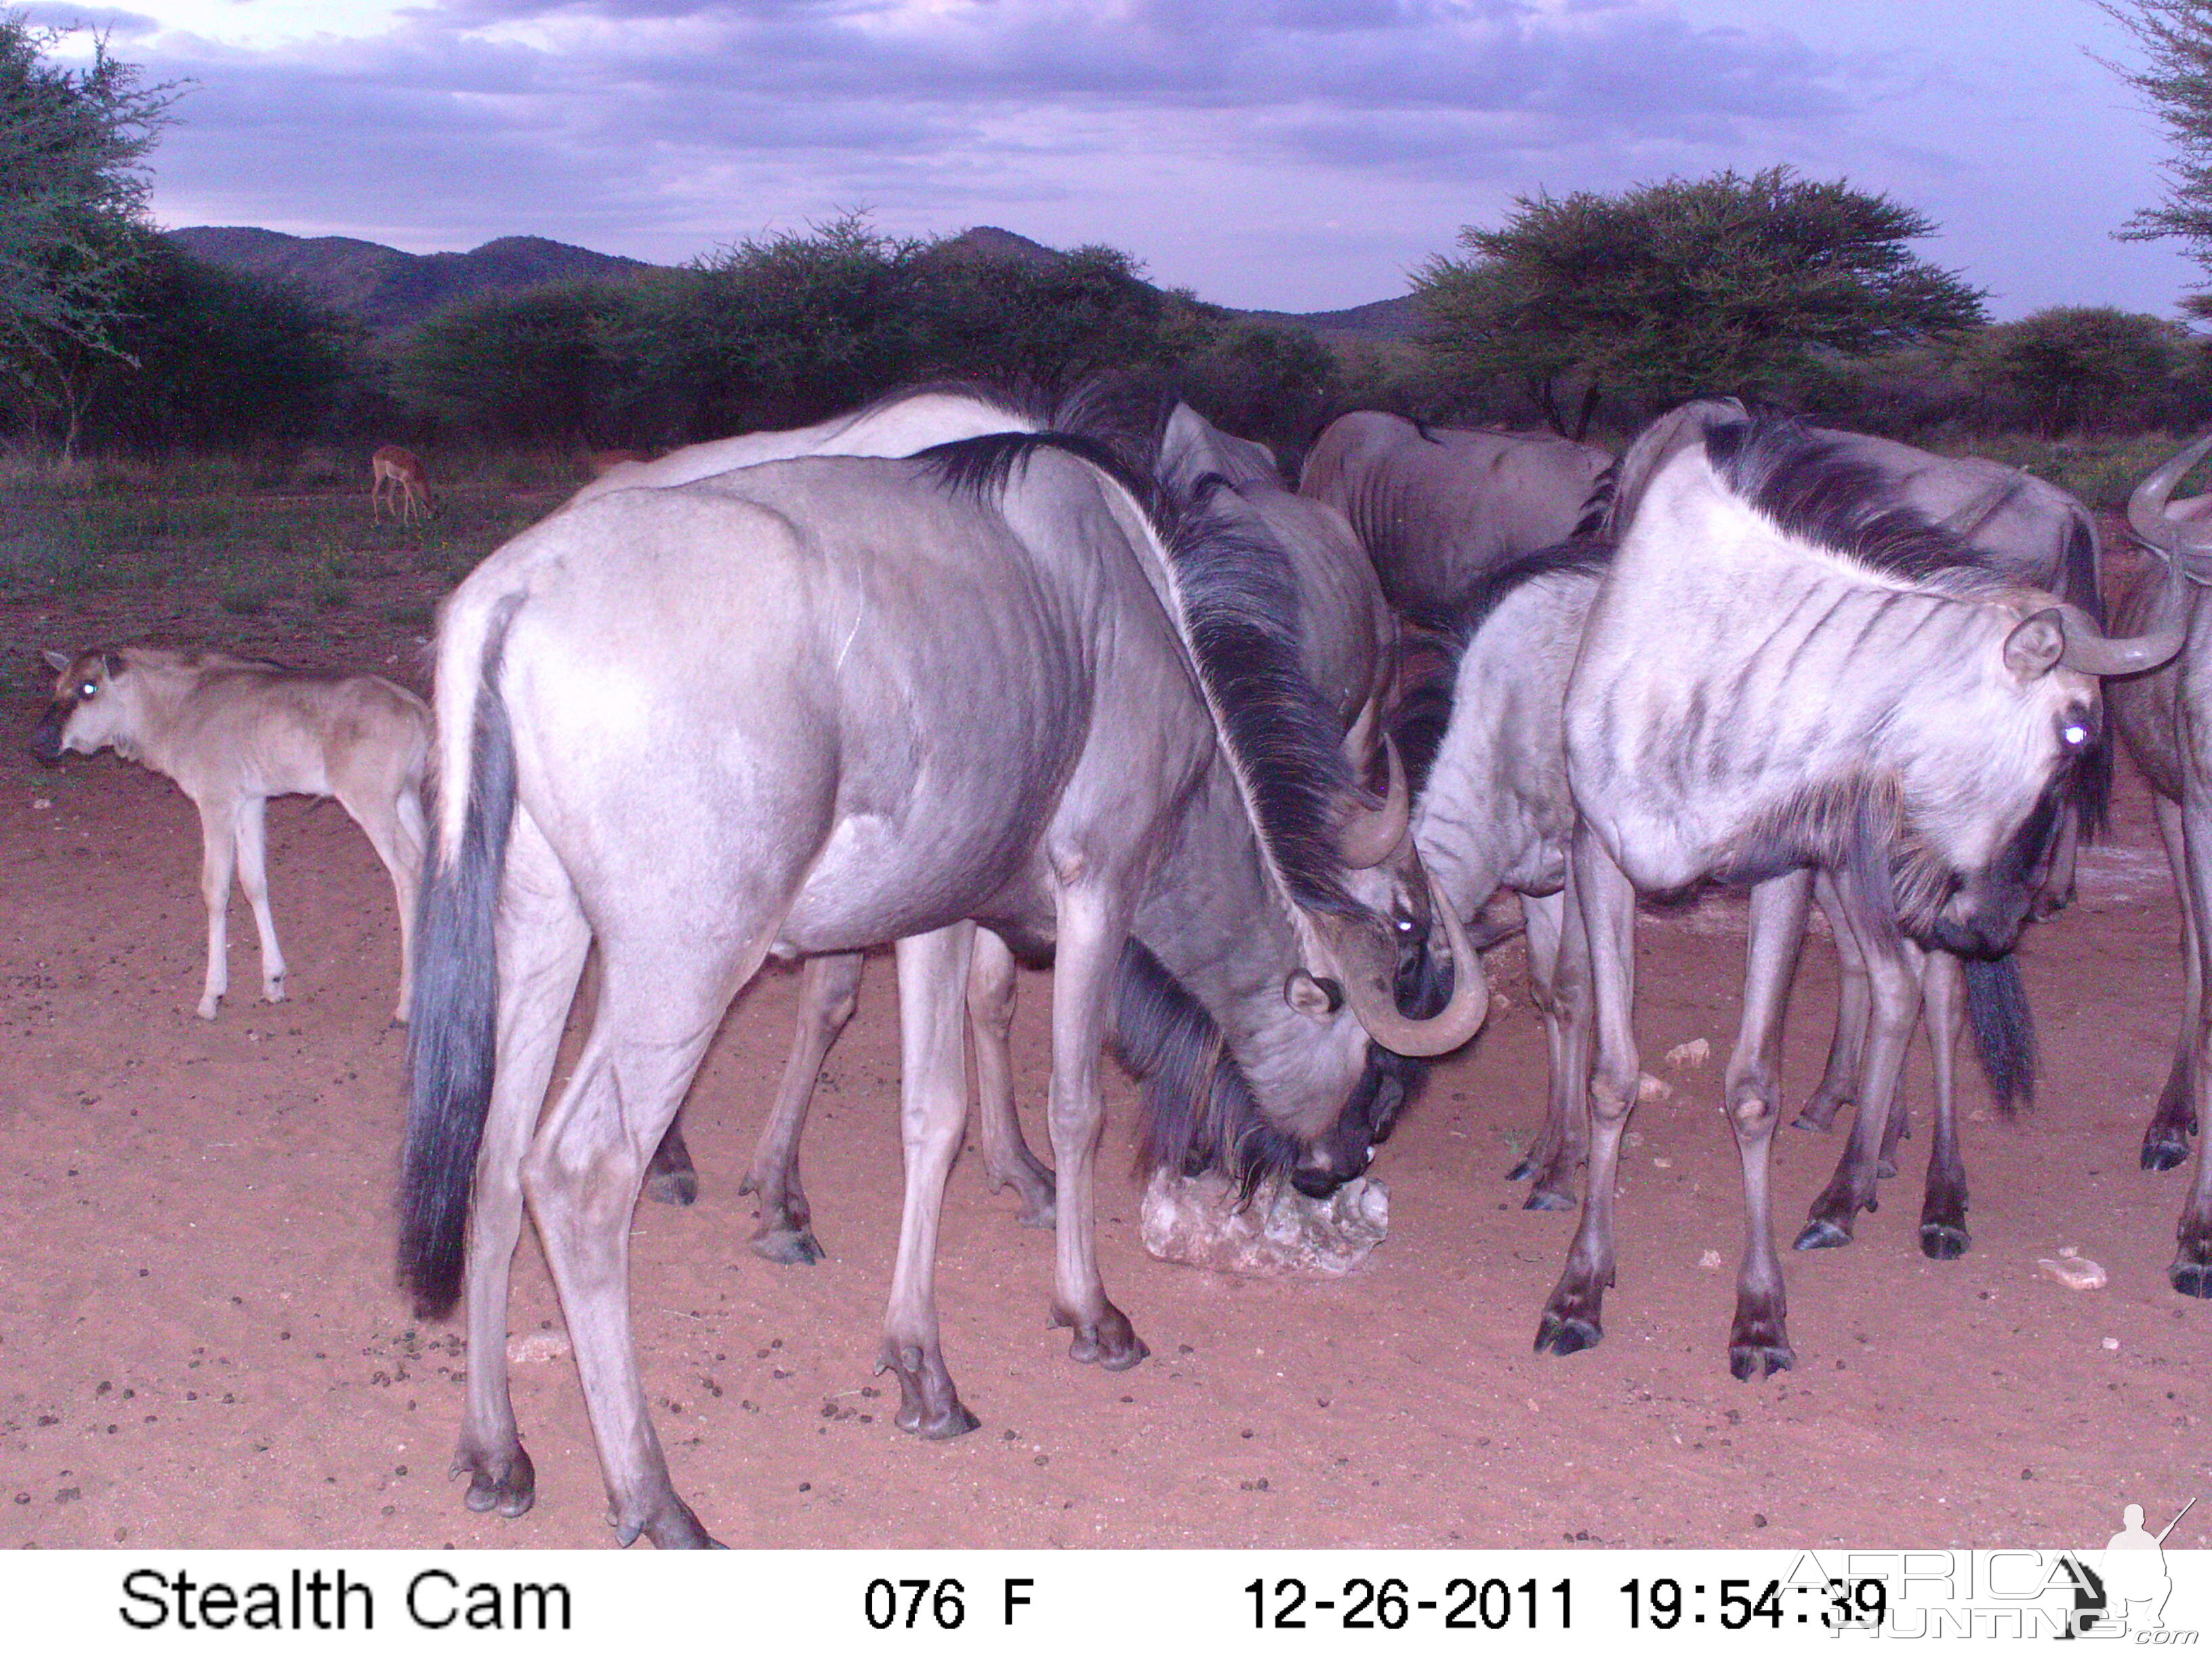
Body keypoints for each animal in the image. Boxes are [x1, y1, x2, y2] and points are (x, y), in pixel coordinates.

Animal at [28, 641, 429, 1021]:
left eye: (89, 687)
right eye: (58, 686)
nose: (41, 741)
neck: (179, 705)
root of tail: (414, 707)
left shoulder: (216, 803)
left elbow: (216, 890)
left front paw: (212, 995)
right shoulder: (250, 802)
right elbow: (254, 883)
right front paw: (273, 980)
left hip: (371, 803)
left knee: (407, 870)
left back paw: (408, 1001)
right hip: (406, 799)